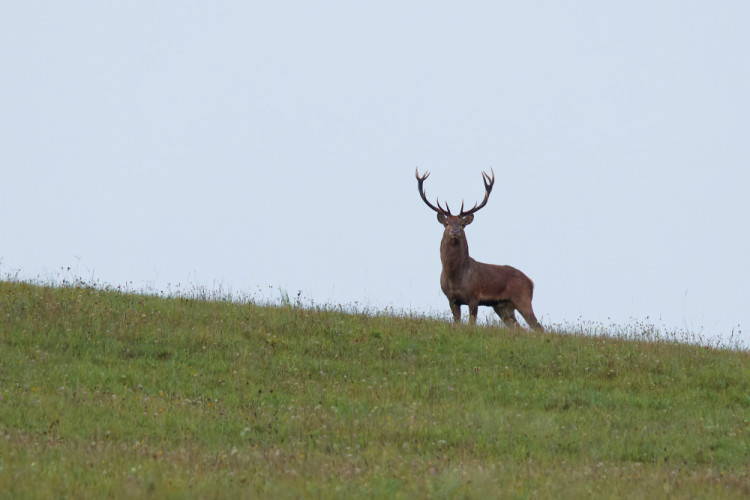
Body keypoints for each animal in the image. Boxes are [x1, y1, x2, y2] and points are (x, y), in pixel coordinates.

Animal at [418, 169, 548, 332]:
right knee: (519, 328)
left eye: (462, 224)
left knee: (538, 327)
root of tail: (531, 282)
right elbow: (457, 323)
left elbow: (471, 323)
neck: (455, 277)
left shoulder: (474, 296)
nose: (455, 231)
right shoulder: (451, 299)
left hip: (523, 298)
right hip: (503, 307)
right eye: (447, 223)